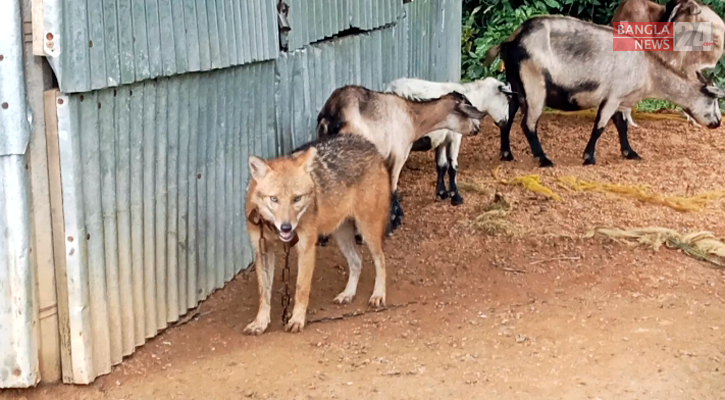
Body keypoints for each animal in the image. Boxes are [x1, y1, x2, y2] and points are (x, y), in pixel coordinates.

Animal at [316, 85, 486, 234]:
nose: (478, 128)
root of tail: (332, 115)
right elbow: (392, 187)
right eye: (468, 112)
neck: (412, 117)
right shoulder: (399, 155)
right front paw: (393, 223)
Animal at [384, 77, 516, 205]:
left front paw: (442, 193)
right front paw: (456, 197)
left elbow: (442, 165)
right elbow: (453, 166)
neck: (474, 98)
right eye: (507, 100)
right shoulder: (455, 136)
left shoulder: (443, 140)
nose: (505, 121)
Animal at [484, 15, 720, 167]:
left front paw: (630, 153)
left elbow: (622, 126)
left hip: (517, 86)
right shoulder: (613, 96)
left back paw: (506, 154)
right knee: (528, 124)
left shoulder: (620, 100)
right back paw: (543, 159)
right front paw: (589, 157)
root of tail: (512, 40)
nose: (717, 123)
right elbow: (600, 126)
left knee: (507, 117)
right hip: (535, 86)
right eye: (712, 99)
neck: (647, 70)